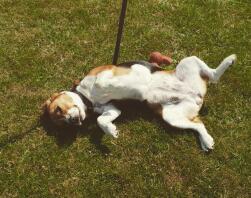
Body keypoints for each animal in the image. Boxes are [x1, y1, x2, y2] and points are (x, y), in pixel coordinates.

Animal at [42, 54, 236, 152]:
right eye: (62, 123)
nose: (72, 121)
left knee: (214, 75)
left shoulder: (104, 72)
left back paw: (229, 60)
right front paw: (111, 131)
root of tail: (197, 95)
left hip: (188, 60)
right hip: (171, 116)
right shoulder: (111, 108)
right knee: (198, 124)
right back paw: (206, 141)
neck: (87, 98)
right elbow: (101, 120)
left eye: (58, 109)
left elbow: (102, 83)